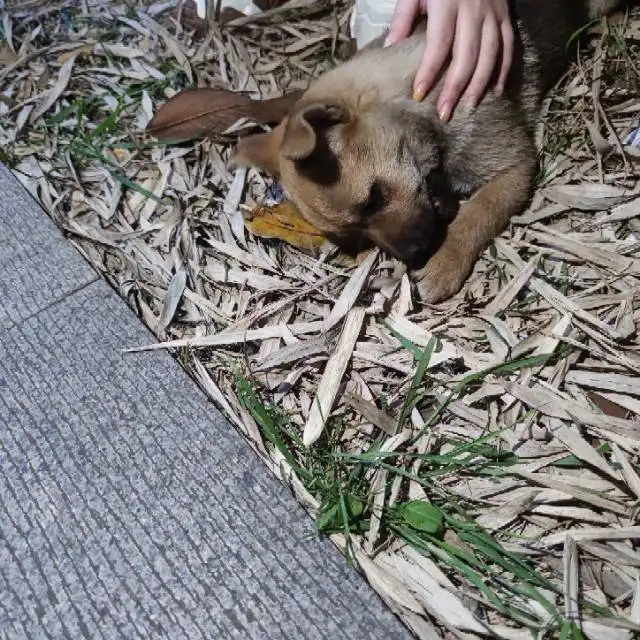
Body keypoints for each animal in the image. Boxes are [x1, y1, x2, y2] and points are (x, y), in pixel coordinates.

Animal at [232, 0, 624, 302]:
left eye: (373, 198)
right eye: (355, 236)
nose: (414, 255)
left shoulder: (514, 168)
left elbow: (478, 214)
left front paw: (445, 264)